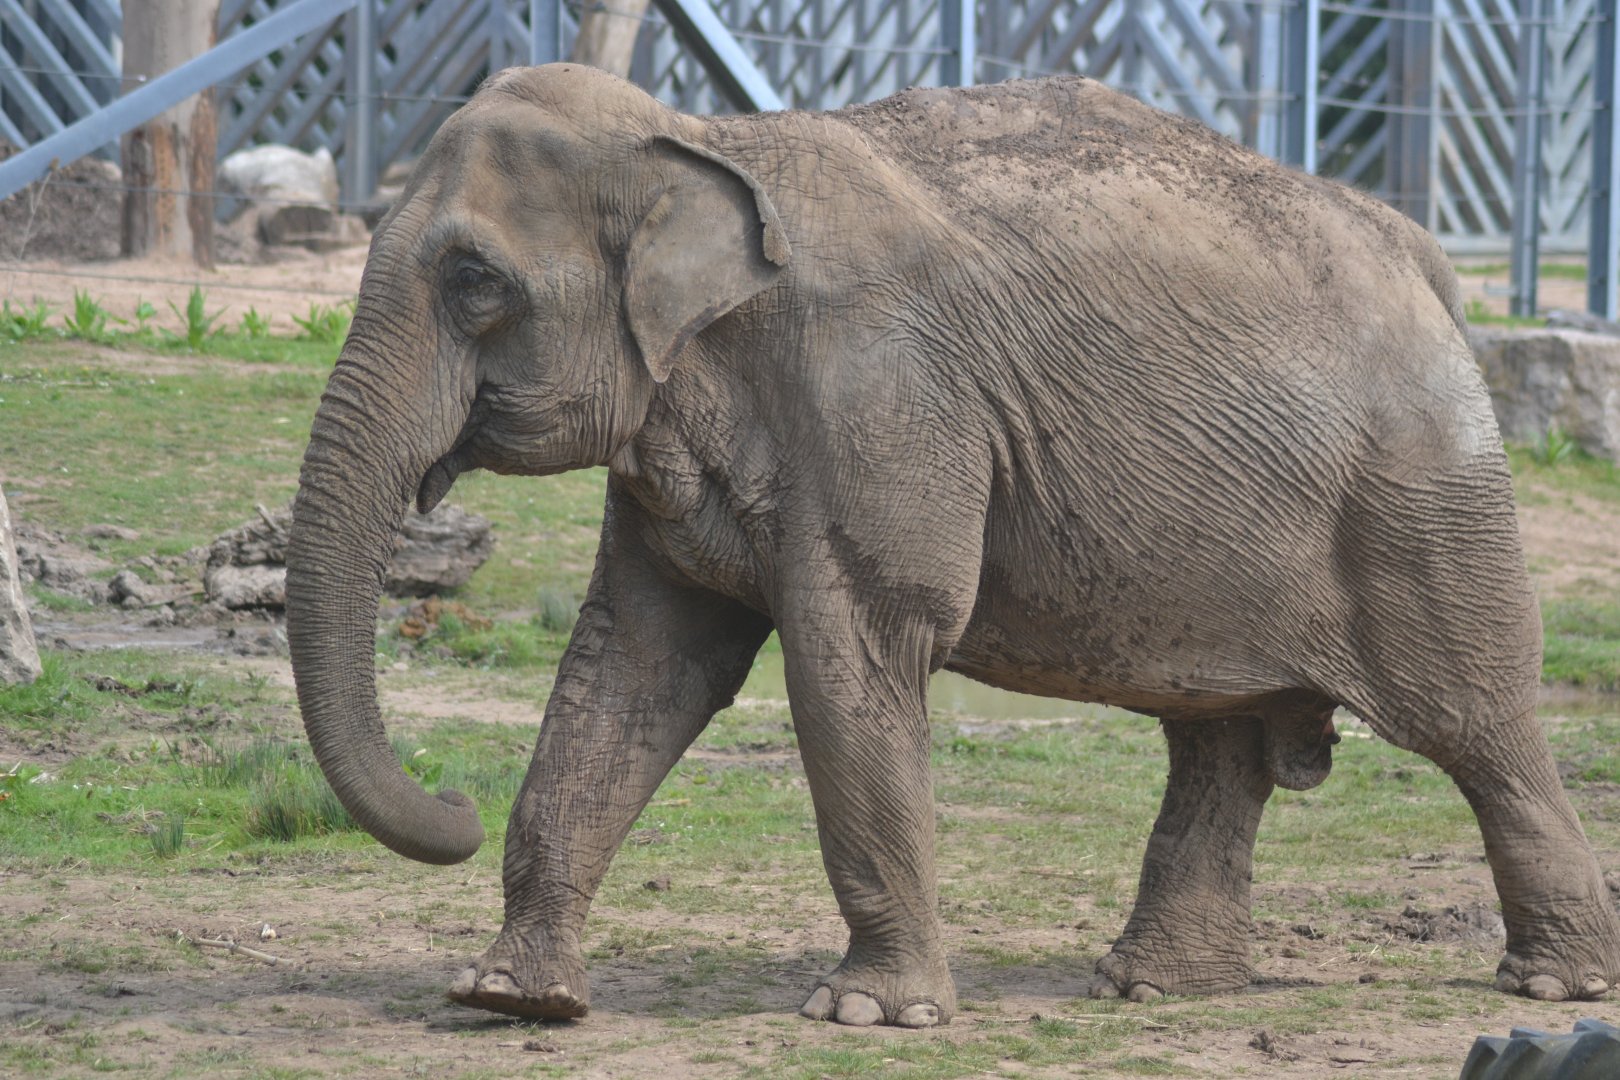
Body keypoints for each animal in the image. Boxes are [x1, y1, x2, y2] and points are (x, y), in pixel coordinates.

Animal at [285, 64, 1620, 1027]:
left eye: (475, 281)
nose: (448, 800)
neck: (705, 139)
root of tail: (1430, 266)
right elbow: (635, 665)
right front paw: (510, 1001)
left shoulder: (883, 398)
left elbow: (853, 653)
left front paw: (870, 1017)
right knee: (1218, 739)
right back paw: (1150, 988)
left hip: (1421, 500)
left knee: (1476, 726)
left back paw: (1554, 984)